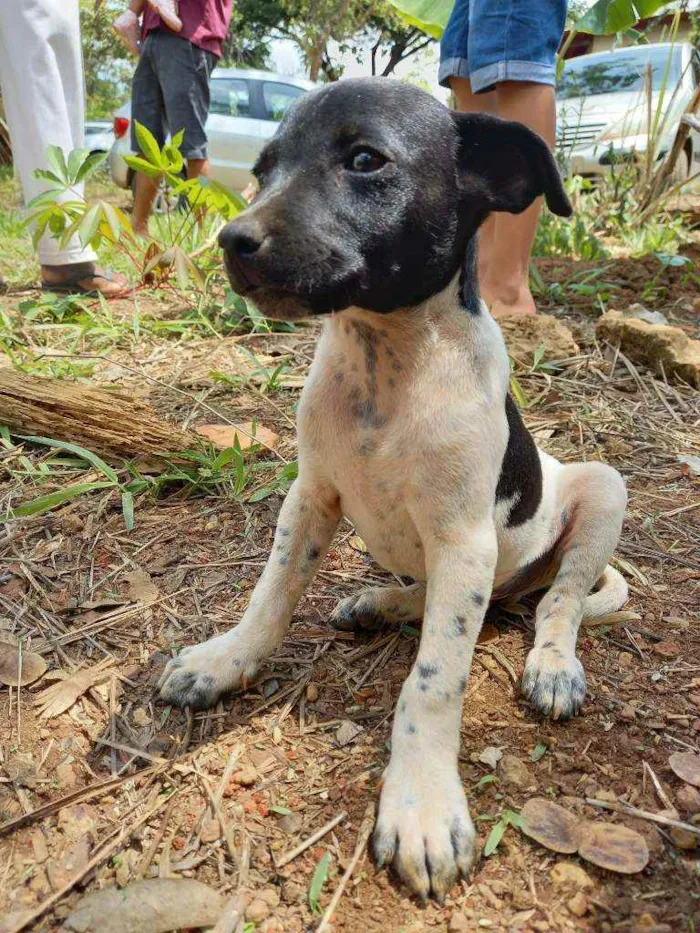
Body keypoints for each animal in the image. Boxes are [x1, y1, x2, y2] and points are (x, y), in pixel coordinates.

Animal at [160, 82, 628, 904]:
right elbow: (269, 597)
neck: (388, 364)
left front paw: (421, 804)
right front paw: (225, 660)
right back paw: (380, 603)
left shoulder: (463, 539)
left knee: (557, 602)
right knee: (459, 600)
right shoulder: (309, 498)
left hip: (601, 489)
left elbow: (434, 680)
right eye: (264, 169)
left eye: (365, 160)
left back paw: (550, 664)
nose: (231, 241)